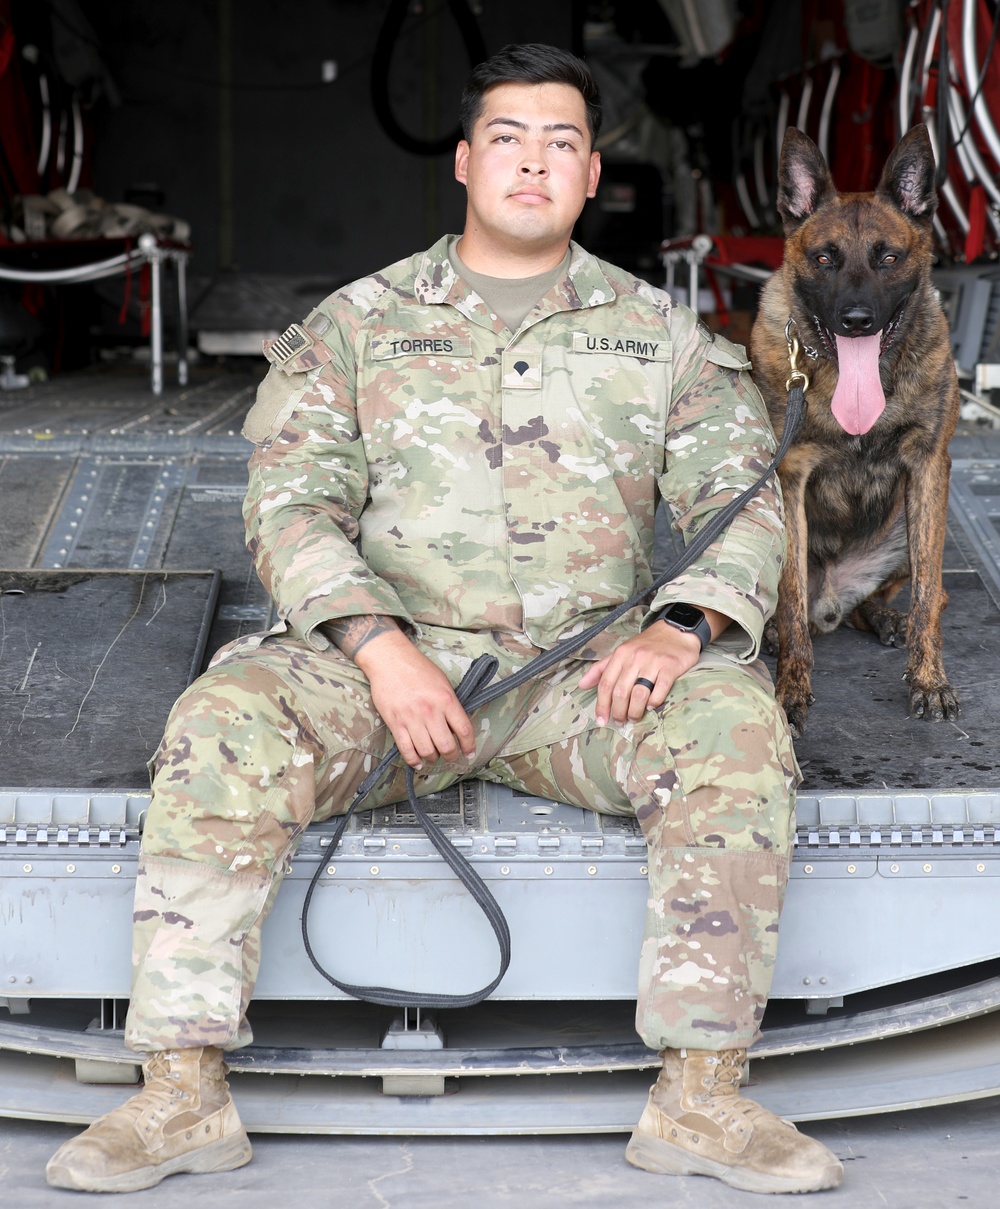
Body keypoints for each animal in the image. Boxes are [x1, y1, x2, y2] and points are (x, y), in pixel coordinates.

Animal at [749, 122, 962, 730]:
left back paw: (888, 619)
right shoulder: (788, 477)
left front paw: (929, 680)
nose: (857, 321)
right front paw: (791, 692)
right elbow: (791, 602)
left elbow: (927, 595)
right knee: (792, 609)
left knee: (915, 594)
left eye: (888, 257)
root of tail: (833, 601)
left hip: (910, 525)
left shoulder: (929, 466)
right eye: (825, 258)